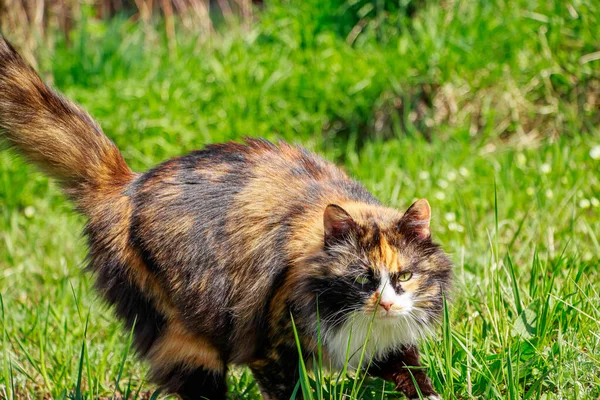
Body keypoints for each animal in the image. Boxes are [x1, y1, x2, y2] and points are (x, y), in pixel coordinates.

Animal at [0, 35, 450, 400]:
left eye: (405, 275)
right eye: (360, 280)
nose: (386, 303)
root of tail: (125, 184)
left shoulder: (385, 345)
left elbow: (414, 375)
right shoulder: (273, 349)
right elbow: (289, 390)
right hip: (183, 338)